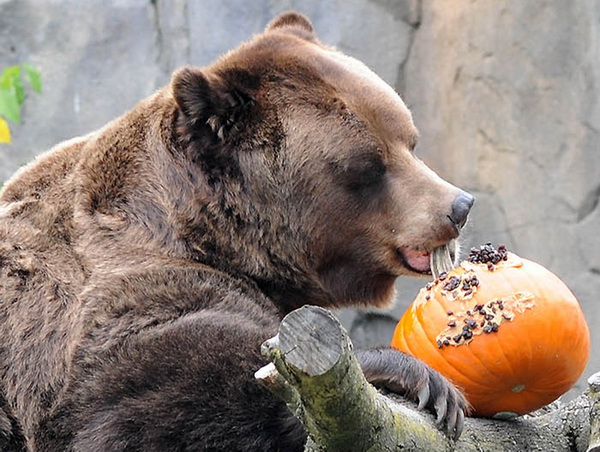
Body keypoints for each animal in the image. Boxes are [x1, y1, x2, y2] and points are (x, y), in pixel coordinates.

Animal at [0, 12, 474, 450]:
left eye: (409, 140)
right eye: (369, 165)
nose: (459, 206)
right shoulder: (86, 302)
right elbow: (142, 397)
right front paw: (414, 377)